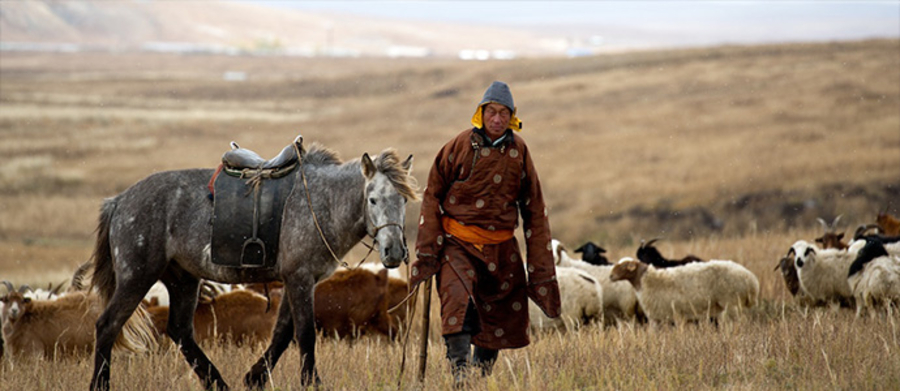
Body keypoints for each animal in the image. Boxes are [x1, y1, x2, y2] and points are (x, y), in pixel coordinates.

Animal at [88, 142, 418, 391]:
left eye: (404, 201)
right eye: (372, 199)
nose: (393, 251)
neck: (323, 203)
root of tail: (119, 201)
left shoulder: (300, 279)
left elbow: (283, 333)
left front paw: (255, 377)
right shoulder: (299, 278)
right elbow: (305, 333)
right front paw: (311, 382)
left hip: (183, 279)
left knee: (180, 331)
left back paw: (218, 383)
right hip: (137, 276)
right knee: (108, 325)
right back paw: (100, 384)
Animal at [608, 258, 756, 324]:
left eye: (624, 266)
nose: (610, 276)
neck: (646, 280)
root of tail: (751, 279)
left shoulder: (663, 316)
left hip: (732, 303)